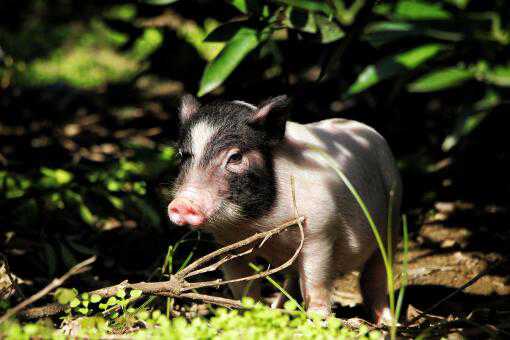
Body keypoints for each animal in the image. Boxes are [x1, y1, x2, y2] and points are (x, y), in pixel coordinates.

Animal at [167, 95, 402, 324]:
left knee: (376, 277)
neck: (257, 225)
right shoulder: (228, 243)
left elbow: (315, 284)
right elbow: (243, 288)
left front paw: (317, 321)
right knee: (292, 279)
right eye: (181, 155)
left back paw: (388, 322)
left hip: (393, 218)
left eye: (235, 157)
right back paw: (278, 309)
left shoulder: (320, 231)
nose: (182, 204)